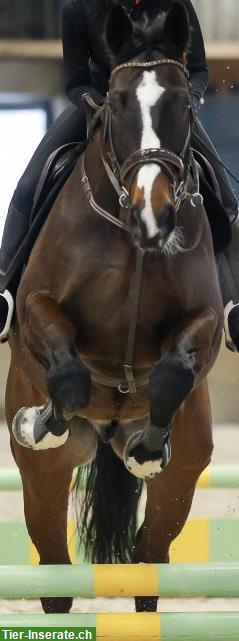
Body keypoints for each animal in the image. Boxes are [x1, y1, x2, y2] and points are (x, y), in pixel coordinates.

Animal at [5, 1, 222, 616]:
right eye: (119, 102)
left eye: (184, 104)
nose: (155, 216)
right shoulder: (36, 307)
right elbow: (70, 377)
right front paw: (38, 421)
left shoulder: (205, 321)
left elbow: (174, 371)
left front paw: (148, 446)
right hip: (43, 481)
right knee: (55, 577)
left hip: (185, 474)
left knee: (150, 559)